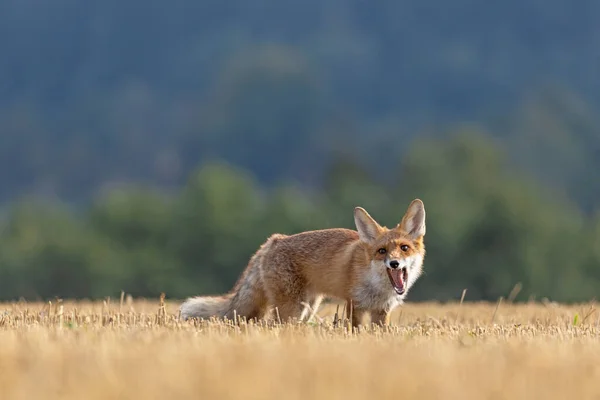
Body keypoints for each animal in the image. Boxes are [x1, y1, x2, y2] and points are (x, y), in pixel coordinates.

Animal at [179, 198, 426, 326]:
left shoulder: (381, 312)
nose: (394, 264)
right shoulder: (354, 305)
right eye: (381, 251)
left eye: (404, 248)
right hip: (292, 309)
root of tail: (274, 240)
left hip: (308, 308)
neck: (378, 288)